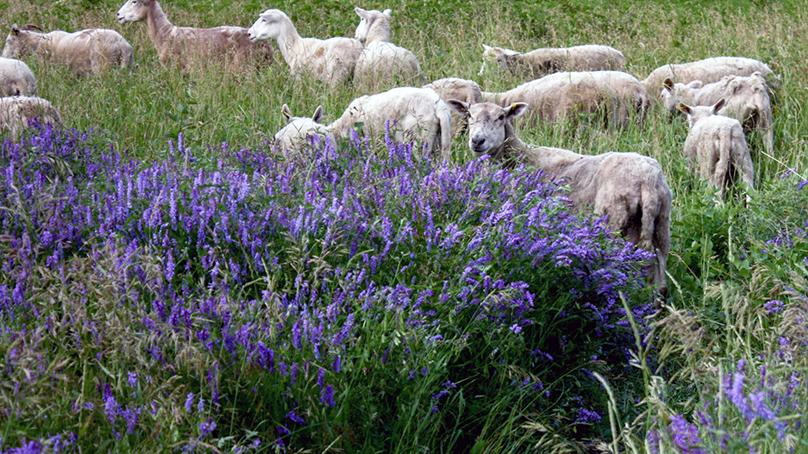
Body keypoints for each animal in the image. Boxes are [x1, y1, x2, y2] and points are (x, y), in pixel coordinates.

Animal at [116, 0, 272, 71]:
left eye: (134, 1)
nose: (118, 14)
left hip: (242, 65)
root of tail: (266, 46)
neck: (165, 33)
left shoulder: (176, 67)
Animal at [447, 100, 671, 295]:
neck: (518, 157)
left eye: (501, 117)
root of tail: (647, 180)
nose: (477, 141)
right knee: (660, 283)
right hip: (660, 226)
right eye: (469, 115)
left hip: (613, 222)